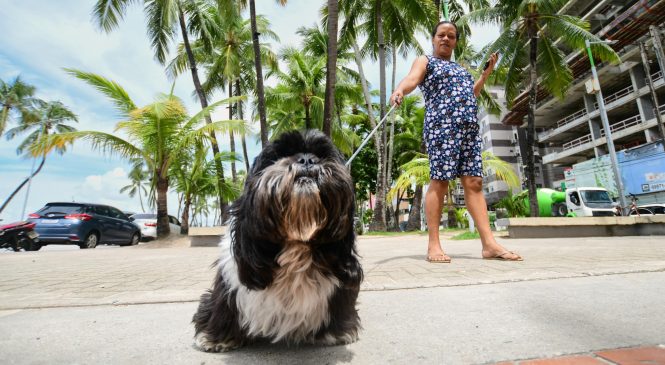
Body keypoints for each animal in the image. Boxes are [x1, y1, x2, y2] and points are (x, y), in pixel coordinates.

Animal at [192, 129, 364, 352]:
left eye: (322, 155)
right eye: (280, 155)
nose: (307, 159)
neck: (296, 244)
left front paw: (337, 333)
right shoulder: (231, 283)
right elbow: (225, 305)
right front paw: (216, 337)